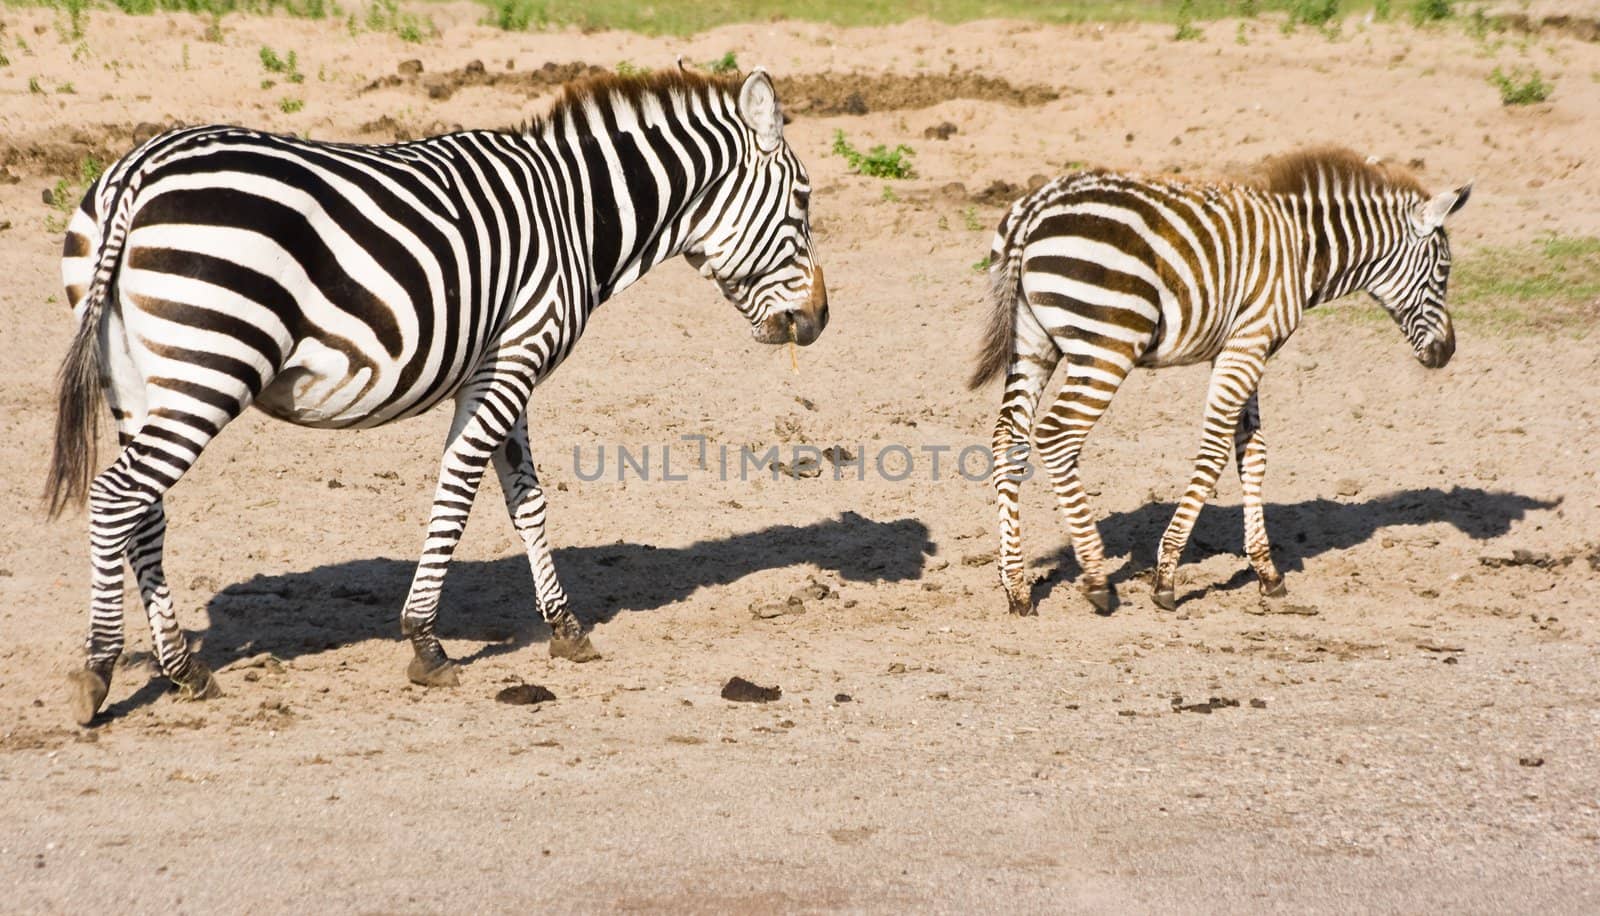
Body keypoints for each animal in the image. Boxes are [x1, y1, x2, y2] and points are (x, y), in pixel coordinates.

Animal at [46, 69, 825, 723]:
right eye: (803, 202)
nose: (820, 322)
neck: (576, 213)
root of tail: (137, 172)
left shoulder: (501, 364)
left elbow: (526, 500)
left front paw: (565, 627)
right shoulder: (516, 356)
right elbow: (458, 490)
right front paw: (425, 643)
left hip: (139, 383)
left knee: (144, 511)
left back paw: (184, 669)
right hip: (212, 366)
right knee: (116, 498)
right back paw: (99, 670)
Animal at [966, 148, 1465, 614]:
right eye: (1443, 273)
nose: (1447, 353)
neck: (1305, 249)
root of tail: (1036, 208)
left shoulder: (1242, 346)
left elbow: (1253, 452)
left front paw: (1267, 572)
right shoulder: (1250, 341)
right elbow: (1213, 452)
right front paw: (1166, 576)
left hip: (1031, 342)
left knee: (1008, 438)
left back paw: (1016, 587)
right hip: (1108, 343)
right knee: (1058, 435)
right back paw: (1096, 580)